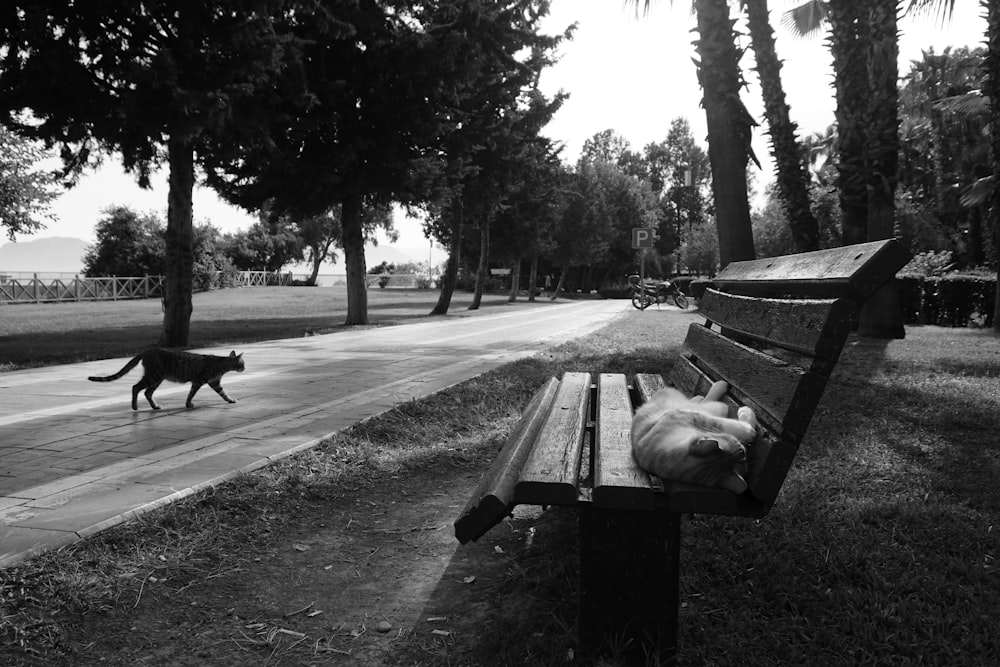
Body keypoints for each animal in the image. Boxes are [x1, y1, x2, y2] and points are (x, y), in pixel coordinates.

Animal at [89, 350, 246, 412]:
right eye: (242, 363)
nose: (245, 368)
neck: (221, 364)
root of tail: (148, 350)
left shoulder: (215, 383)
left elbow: (223, 393)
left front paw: (230, 400)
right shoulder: (199, 381)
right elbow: (191, 394)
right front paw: (188, 404)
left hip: (157, 379)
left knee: (147, 393)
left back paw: (154, 406)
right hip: (153, 376)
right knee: (136, 387)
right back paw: (135, 406)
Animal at [628, 380, 760, 496]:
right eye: (739, 446)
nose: (744, 447)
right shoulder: (699, 417)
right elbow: (725, 423)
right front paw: (749, 425)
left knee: (701, 401)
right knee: (711, 403)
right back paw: (720, 387)